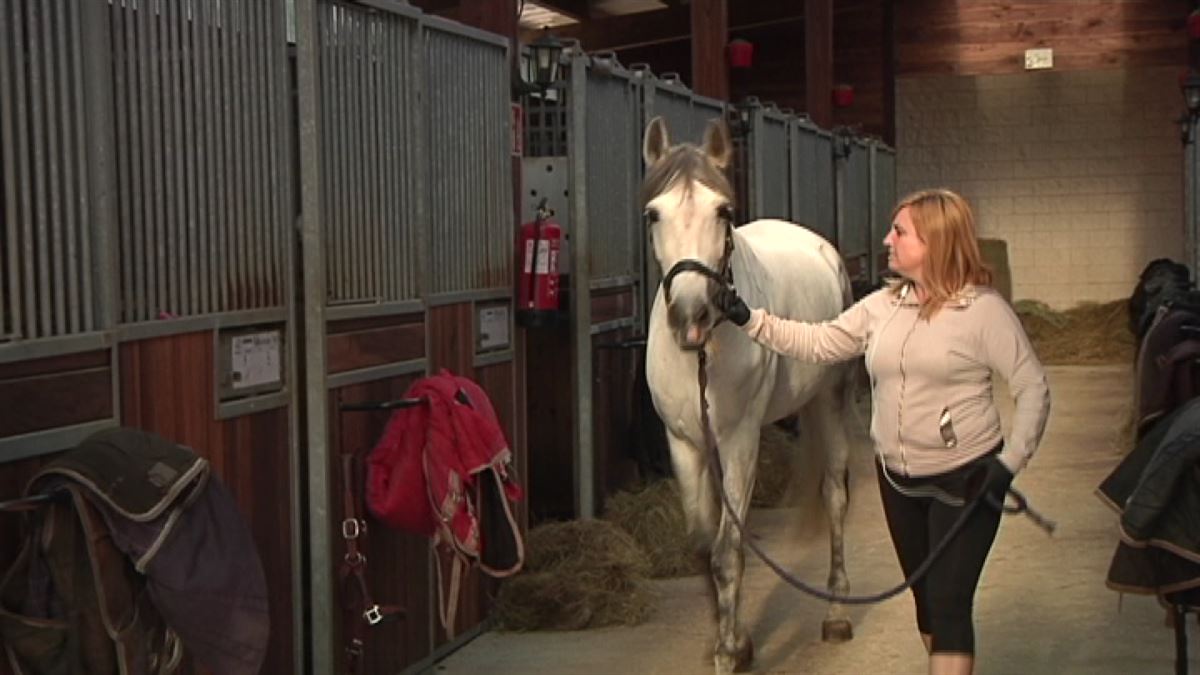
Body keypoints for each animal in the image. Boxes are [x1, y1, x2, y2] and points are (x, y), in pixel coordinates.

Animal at [643, 117, 859, 672]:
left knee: (835, 495)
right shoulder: (684, 443)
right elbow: (704, 547)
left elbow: (729, 549)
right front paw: (732, 638)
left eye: (723, 211)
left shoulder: (740, 441)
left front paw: (729, 651)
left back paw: (836, 614)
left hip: (831, 399)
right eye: (653, 213)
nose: (691, 317)